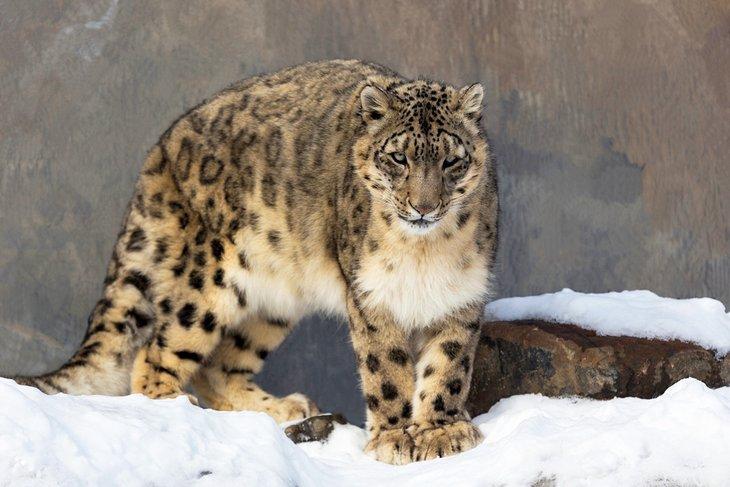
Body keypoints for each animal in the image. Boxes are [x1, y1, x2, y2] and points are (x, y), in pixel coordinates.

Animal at [10, 59, 498, 465]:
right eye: (398, 157)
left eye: (451, 161)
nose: (423, 207)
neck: (425, 253)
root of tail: (161, 147)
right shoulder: (371, 296)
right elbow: (388, 369)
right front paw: (394, 438)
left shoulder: (463, 296)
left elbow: (449, 367)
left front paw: (441, 431)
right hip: (207, 281)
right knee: (154, 354)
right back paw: (175, 407)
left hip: (273, 301)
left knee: (218, 366)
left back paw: (283, 407)